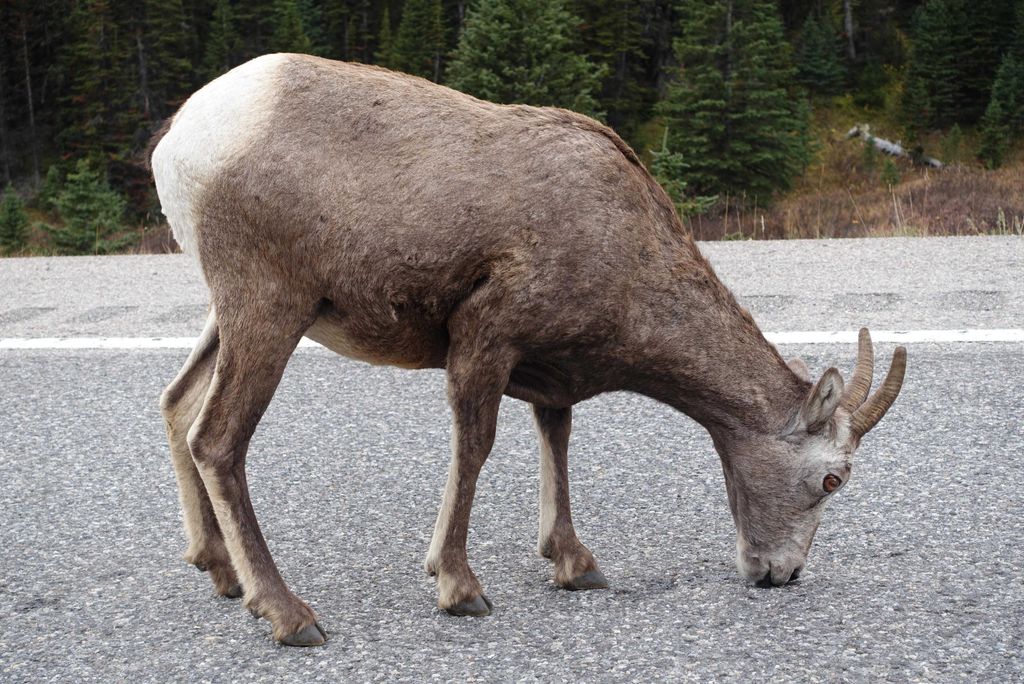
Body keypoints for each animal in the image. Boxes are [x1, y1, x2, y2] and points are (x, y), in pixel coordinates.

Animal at [150, 54, 906, 647]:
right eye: (832, 479)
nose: (781, 575)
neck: (626, 252)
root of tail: (180, 140)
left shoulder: (548, 372)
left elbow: (557, 439)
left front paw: (575, 565)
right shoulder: (486, 337)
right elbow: (475, 448)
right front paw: (459, 588)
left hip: (231, 314)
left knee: (178, 404)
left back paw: (221, 574)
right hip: (269, 306)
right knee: (217, 438)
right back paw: (289, 616)